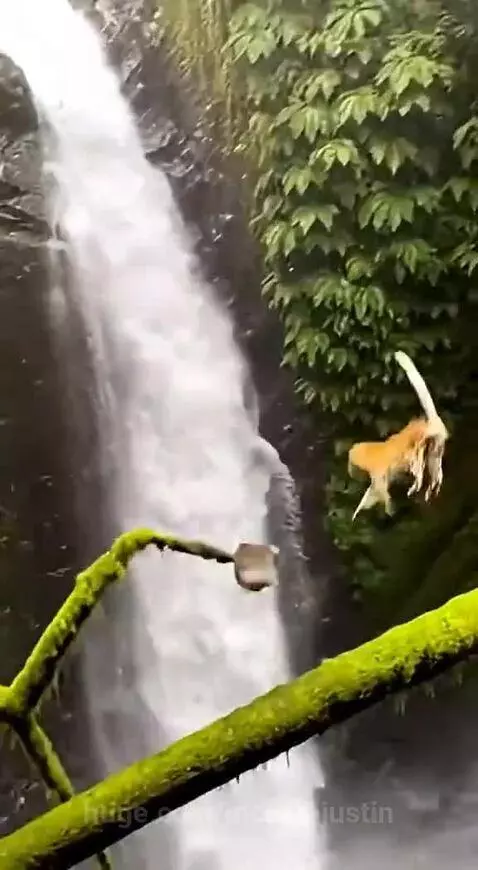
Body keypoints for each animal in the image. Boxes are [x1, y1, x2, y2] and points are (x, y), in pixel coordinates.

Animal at [348, 351, 448, 521]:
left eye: (352, 460)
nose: (351, 468)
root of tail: (431, 422)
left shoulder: (376, 468)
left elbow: (379, 488)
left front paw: (388, 508)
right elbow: (374, 490)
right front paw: (357, 511)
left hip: (425, 437)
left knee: (417, 456)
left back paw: (418, 481)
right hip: (436, 442)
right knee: (432, 461)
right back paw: (432, 483)